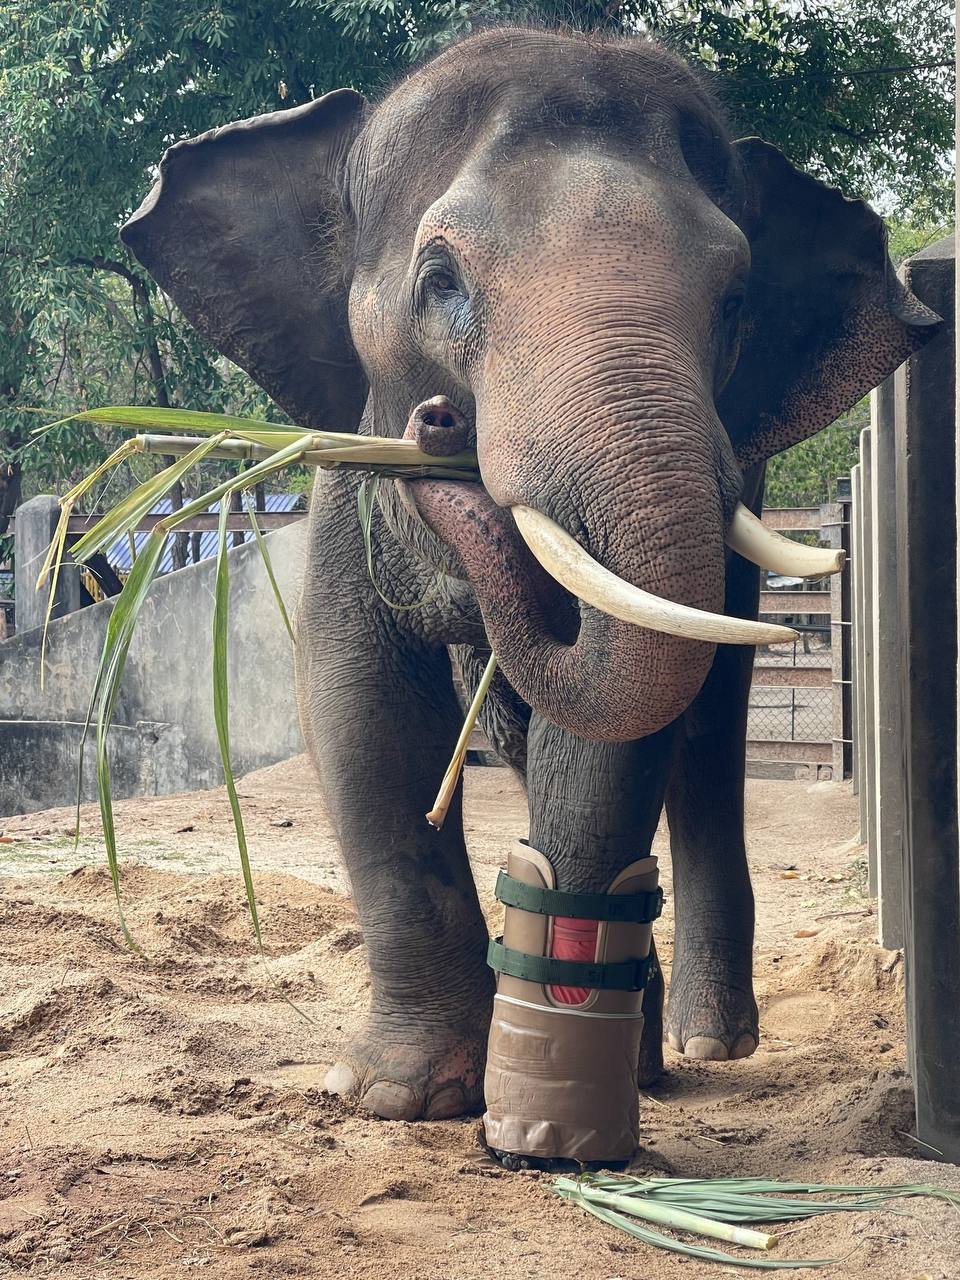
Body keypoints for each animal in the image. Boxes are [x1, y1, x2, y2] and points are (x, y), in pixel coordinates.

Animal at [120, 26, 939, 1156]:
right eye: (440, 280)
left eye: (736, 302)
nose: (436, 427)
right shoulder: (349, 478)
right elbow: (359, 706)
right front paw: (399, 1096)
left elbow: (605, 739)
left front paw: (552, 1102)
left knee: (705, 736)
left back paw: (696, 1046)